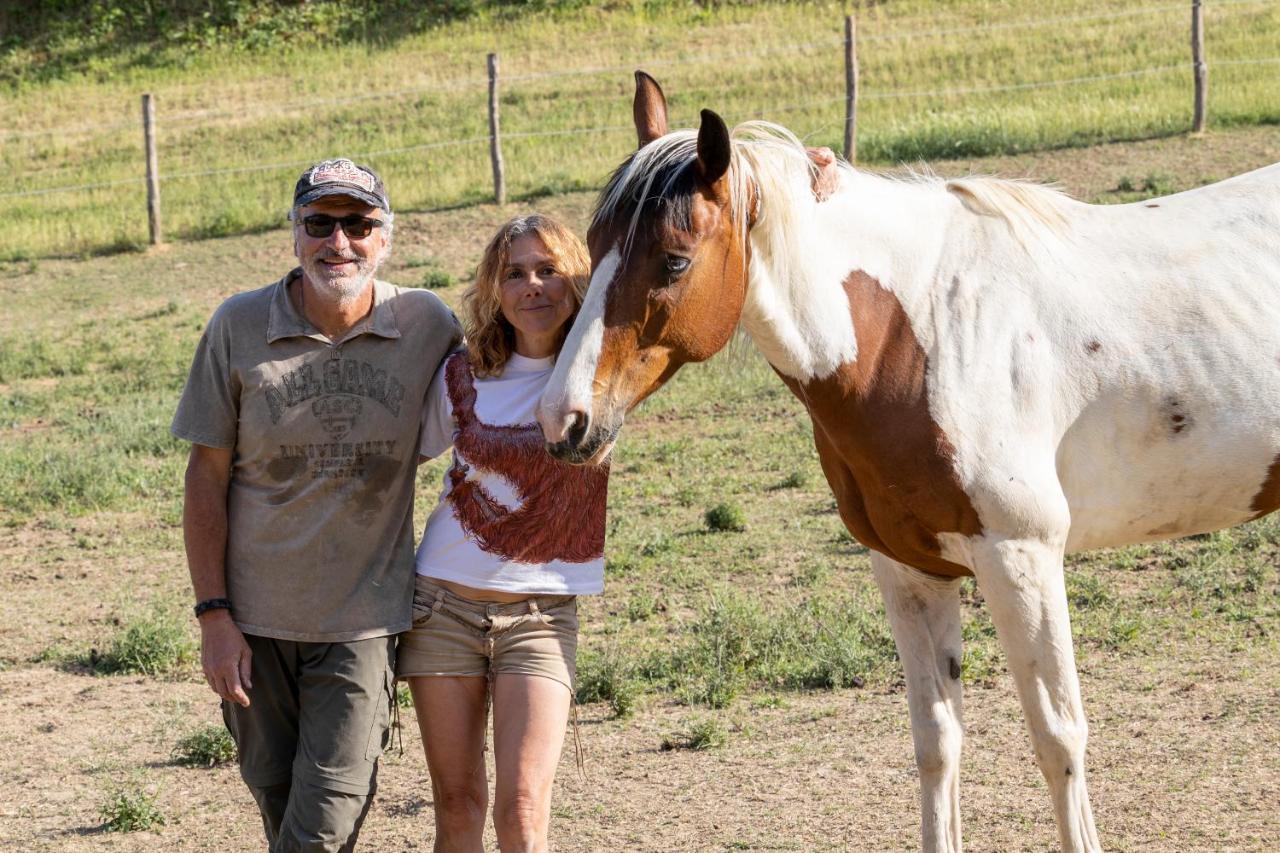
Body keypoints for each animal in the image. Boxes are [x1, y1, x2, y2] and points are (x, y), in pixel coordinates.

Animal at [535, 69, 1280, 845]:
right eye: (592, 244)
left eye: (674, 260)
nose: (565, 419)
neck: (921, 334)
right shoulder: (910, 570)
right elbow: (936, 742)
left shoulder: (1022, 557)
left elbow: (1058, 738)